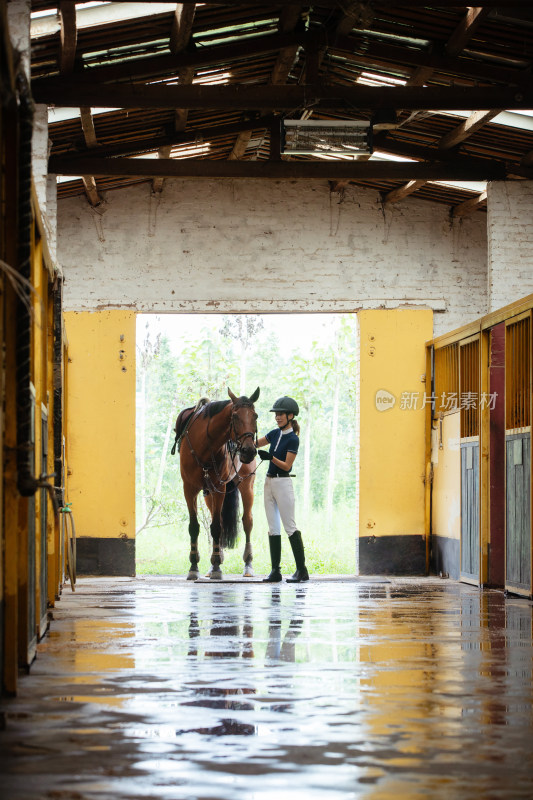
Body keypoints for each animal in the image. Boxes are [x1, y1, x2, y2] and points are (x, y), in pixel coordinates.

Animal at [174, 390, 258, 580]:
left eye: (255, 416)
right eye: (234, 416)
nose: (249, 451)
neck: (204, 446)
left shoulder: (220, 488)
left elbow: (217, 527)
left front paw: (217, 565)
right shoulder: (189, 489)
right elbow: (194, 526)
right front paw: (194, 566)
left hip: (246, 485)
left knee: (247, 522)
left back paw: (248, 564)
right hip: (208, 494)